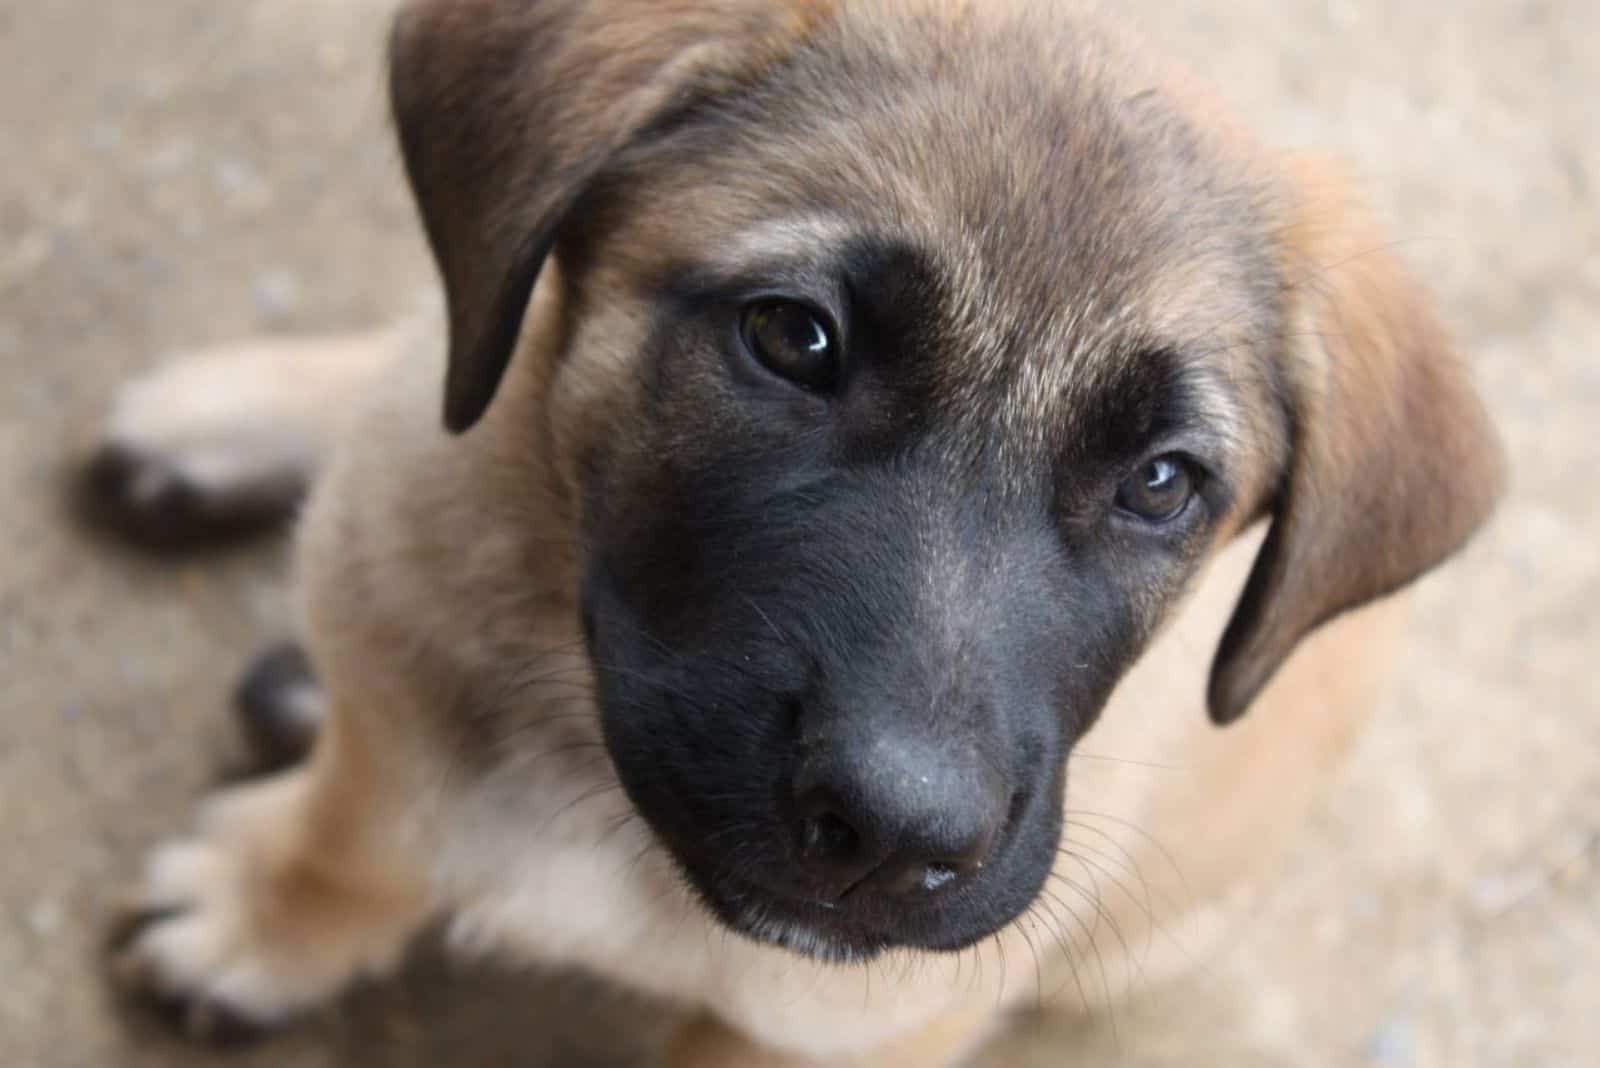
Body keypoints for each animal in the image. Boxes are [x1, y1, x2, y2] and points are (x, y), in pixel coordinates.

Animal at [93, 2, 1504, 1061]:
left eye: (1161, 484)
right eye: (793, 337)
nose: (895, 833)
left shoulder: (844, 1028)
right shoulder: (399, 670)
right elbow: (362, 830)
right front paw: (267, 913)